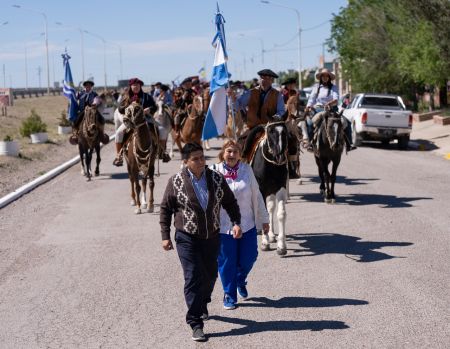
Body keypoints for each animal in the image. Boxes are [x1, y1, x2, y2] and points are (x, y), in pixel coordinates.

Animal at [244, 117, 290, 256]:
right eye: (270, 132)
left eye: (285, 132)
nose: (280, 156)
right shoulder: (261, 190)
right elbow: (262, 212)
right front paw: (264, 243)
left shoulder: (280, 188)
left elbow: (281, 214)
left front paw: (281, 246)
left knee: (270, 208)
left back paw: (271, 234)